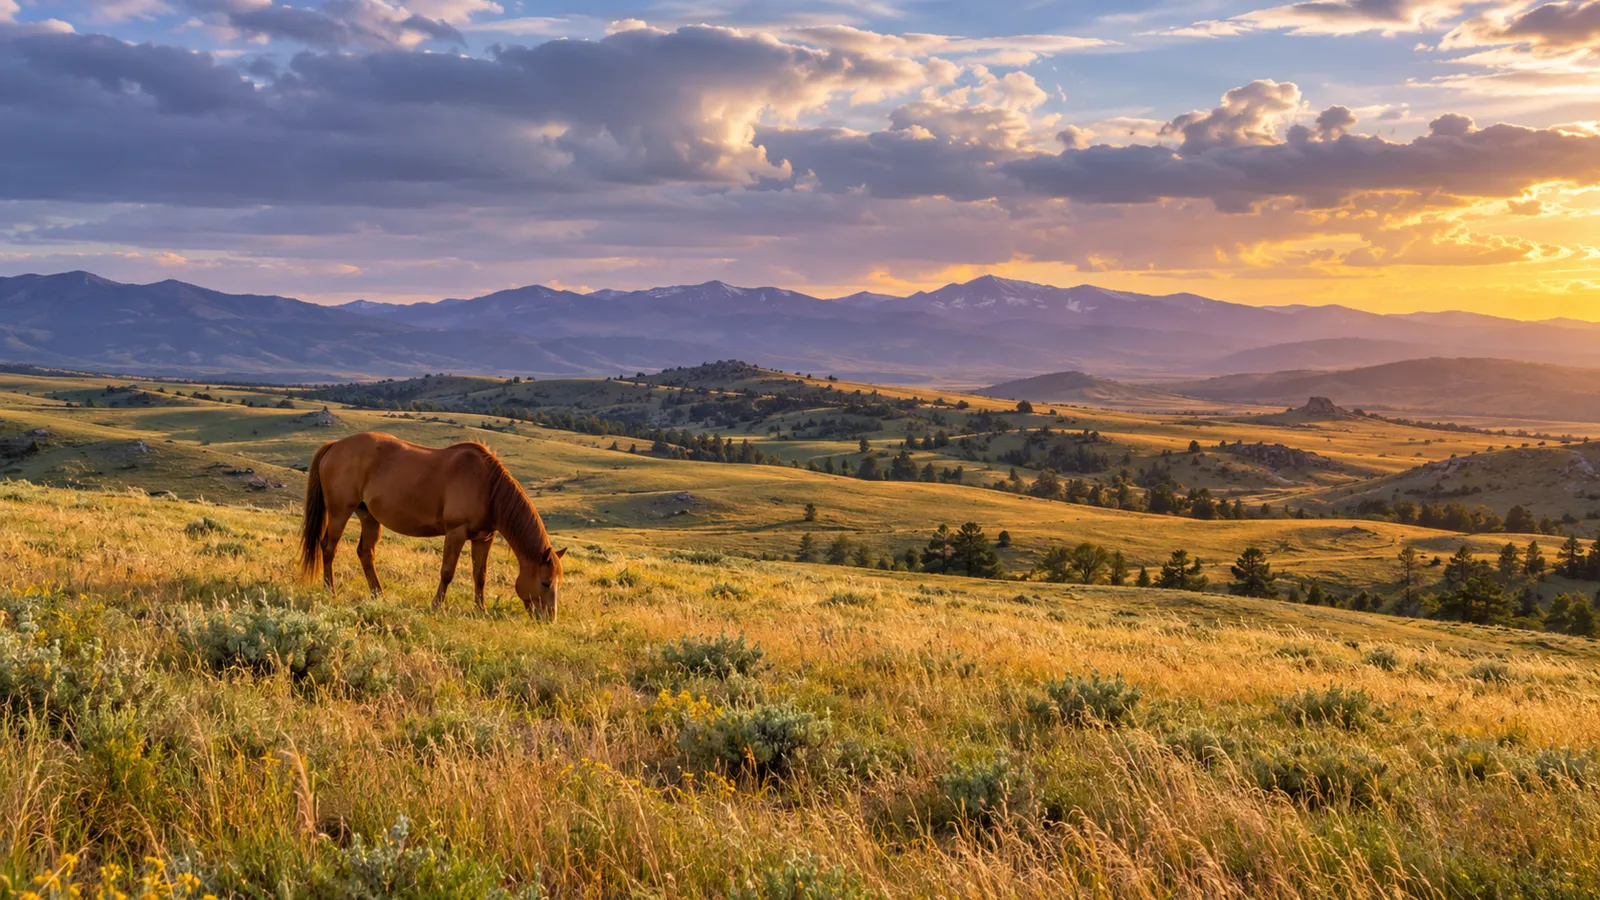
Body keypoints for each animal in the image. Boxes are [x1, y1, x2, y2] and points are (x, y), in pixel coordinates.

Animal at [297, 432, 566, 620]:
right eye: (546, 582)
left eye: (558, 582)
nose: (549, 619)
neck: (488, 487)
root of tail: (335, 445)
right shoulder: (456, 532)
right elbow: (447, 572)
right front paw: (437, 606)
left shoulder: (483, 538)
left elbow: (480, 575)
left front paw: (481, 610)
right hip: (340, 512)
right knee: (328, 548)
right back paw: (330, 591)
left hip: (369, 517)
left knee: (366, 553)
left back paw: (378, 595)